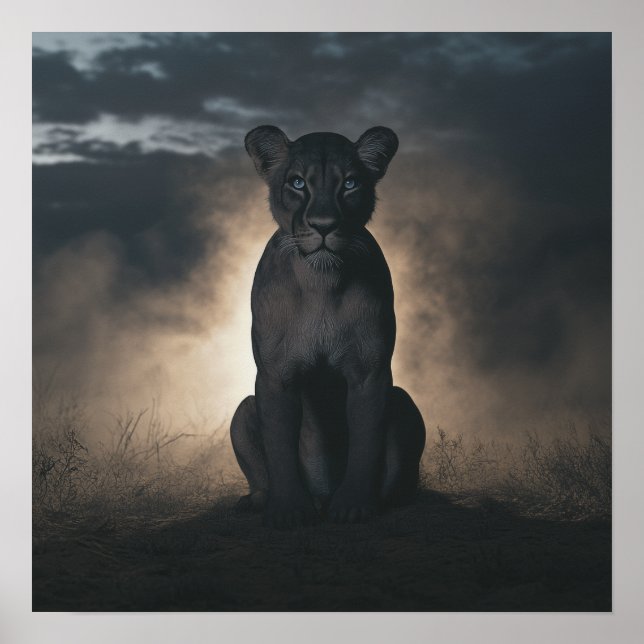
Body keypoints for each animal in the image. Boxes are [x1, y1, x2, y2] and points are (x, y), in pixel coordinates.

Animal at [230, 125, 426, 528]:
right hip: (243, 410)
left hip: (402, 401)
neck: (321, 280)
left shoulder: (370, 373)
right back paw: (257, 501)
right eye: (297, 183)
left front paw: (354, 506)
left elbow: (366, 443)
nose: (324, 226)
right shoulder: (275, 374)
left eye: (349, 183)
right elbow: (279, 447)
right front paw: (288, 509)